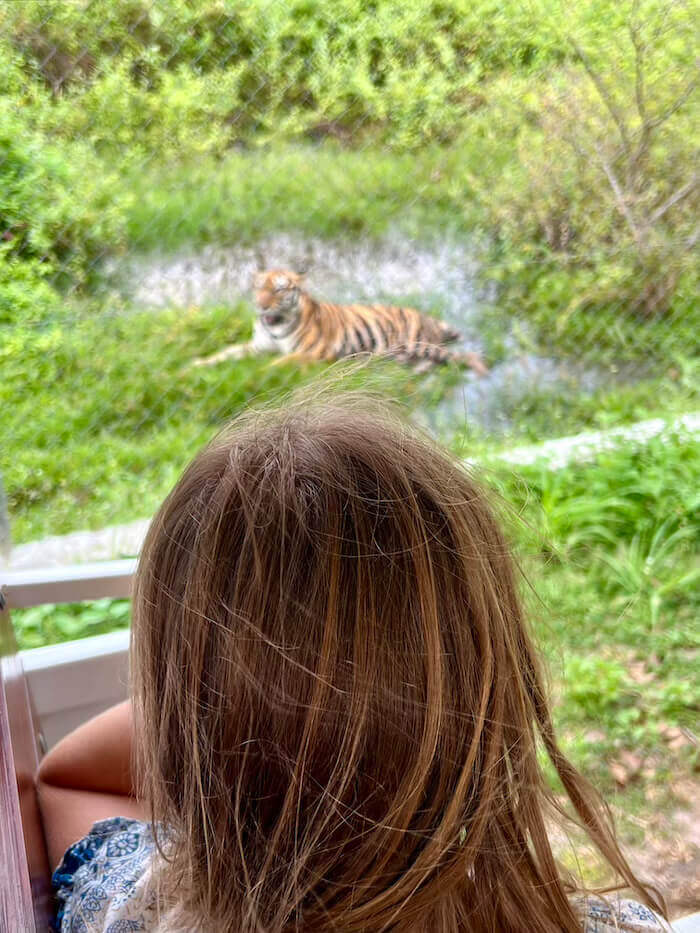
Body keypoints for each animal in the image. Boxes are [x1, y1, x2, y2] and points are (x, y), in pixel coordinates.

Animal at [191, 269, 488, 375]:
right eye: (259, 287)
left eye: (279, 289)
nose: (261, 305)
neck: (274, 324)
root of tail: (430, 320)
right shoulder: (257, 346)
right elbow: (225, 353)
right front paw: (194, 367)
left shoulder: (309, 353)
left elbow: (275, 364)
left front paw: (256, 373)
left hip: (416, 342)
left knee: (450, 357)